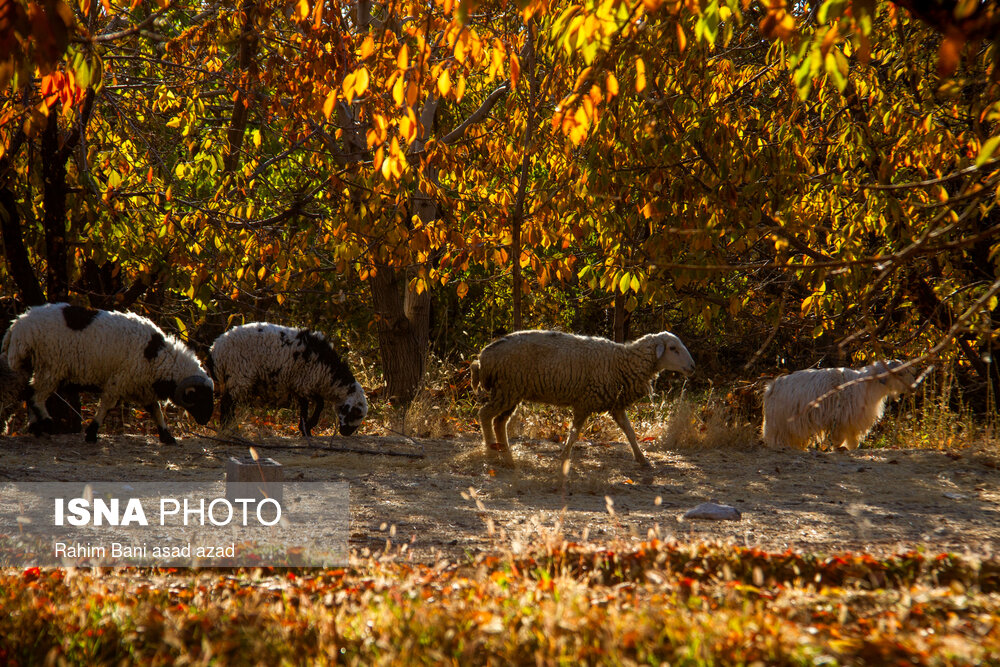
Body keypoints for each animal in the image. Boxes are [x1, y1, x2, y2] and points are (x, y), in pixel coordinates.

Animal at [2, 304, 215, 444]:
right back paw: (46, 423)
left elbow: (156, 410)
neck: (157, 356)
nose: (206, 420)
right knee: (35, 396)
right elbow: (106, 406)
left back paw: (37, 428)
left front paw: (166, 436)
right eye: (200, 397)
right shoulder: (119, 382)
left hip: (35, 366)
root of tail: (16, 325)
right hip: (51, 366)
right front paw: (92, 433)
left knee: (29, 394)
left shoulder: (142, 386)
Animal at [207, 324, 368, 438]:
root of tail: (215, 350)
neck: (330, 376)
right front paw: (307, 429)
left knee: (228, 403)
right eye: (354, 414)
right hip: (239, 373)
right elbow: (317, 404)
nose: (346, 433)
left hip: (235, 377)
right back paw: (228, 428)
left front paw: (305, 429)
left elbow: (308, 405)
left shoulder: (299, 385)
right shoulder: (305, 382)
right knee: (226, 403)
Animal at [470, 330, 696, 470]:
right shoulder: (585, 401)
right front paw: (563, 457)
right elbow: (574, 433)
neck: (624, 361)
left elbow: (630, 433)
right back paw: (491, 452)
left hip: (511, 392)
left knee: (499, 422)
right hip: (507, 389)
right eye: (673, 348)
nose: (692, 367)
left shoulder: (615, 404)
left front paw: (642, 459)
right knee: (485, 415)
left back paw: (506, 455)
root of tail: (483, 358)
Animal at [764, 358, 920, 452]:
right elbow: (839, 440)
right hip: (780, 424)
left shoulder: (852, 424)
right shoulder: (840, 421)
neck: (867, 387)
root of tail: (772, 387)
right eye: (901, 373)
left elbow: (852, 442)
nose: (913, 387)